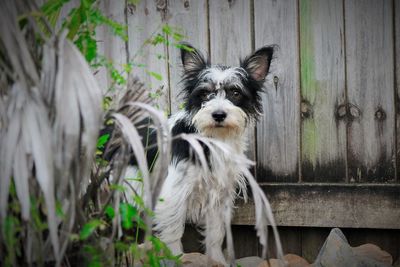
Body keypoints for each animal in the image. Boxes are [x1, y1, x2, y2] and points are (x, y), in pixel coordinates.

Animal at [152, 44, 274, 266]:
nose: (218, 115)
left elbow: (216, 233)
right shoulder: (172, 196)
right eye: (205, 93)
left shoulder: (218, 197)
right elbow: (173, 234)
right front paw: (176, 259)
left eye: (235, 92)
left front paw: (217, 260)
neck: (211, 140)